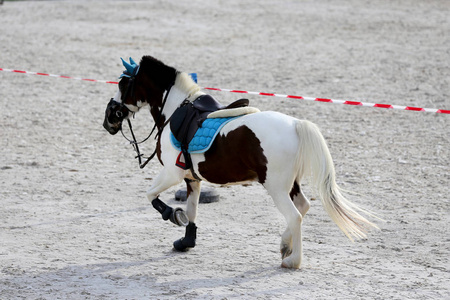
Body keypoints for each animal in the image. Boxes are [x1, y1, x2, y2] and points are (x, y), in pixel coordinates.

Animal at [102, 55, 376, 268]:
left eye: (123, 83)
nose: (109, 119)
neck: (175, 111)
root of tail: (295, 124)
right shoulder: (191, 178)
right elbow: (192, 210)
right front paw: (186, 242)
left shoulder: (172, 173)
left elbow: (152, 196)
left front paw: (171, 214)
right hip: (290, 184)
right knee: (303, 207)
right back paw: (284, 244)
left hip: (276, 187)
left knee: (295, 215)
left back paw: (292, 261)